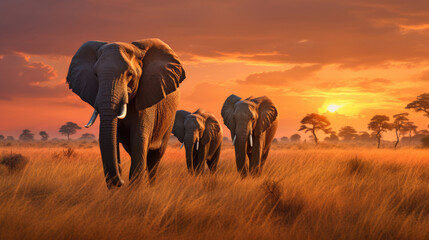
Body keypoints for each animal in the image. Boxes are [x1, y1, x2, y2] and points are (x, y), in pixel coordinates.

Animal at [66, 38, 186, 188]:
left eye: (130, 74)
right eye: (96, 75)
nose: (121, 181)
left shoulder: (147, 97)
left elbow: (139, 139)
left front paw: (134, 191)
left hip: (169, 121)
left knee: (154, 159)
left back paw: (152, 187)